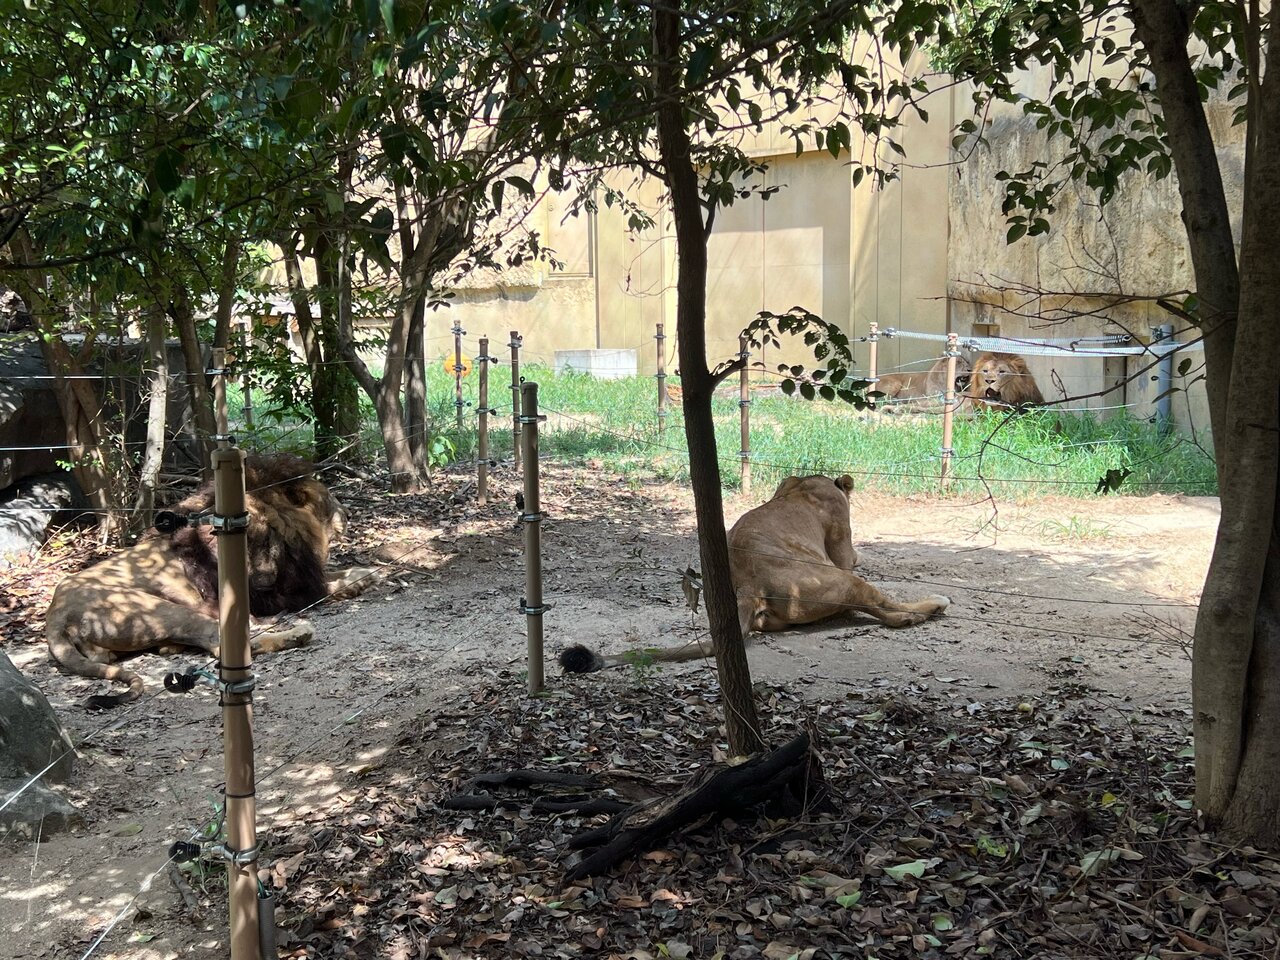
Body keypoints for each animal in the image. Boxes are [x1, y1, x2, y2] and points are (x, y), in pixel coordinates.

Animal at [45, 454, 382, 708]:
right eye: (330, 500)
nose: (349, 513)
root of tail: (54, 616)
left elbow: (341, 572)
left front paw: (373, 568)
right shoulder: (278, 591)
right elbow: (336, 583)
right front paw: (366, 577)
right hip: (161, 610)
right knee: (222, 646)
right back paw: (296, 633)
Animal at [559, 475, 950, 673]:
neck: (806, 483)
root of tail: (747, 585)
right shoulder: (841, 543)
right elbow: (851, 555)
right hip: (840, 582)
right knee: (888, 611)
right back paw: (934, 604)